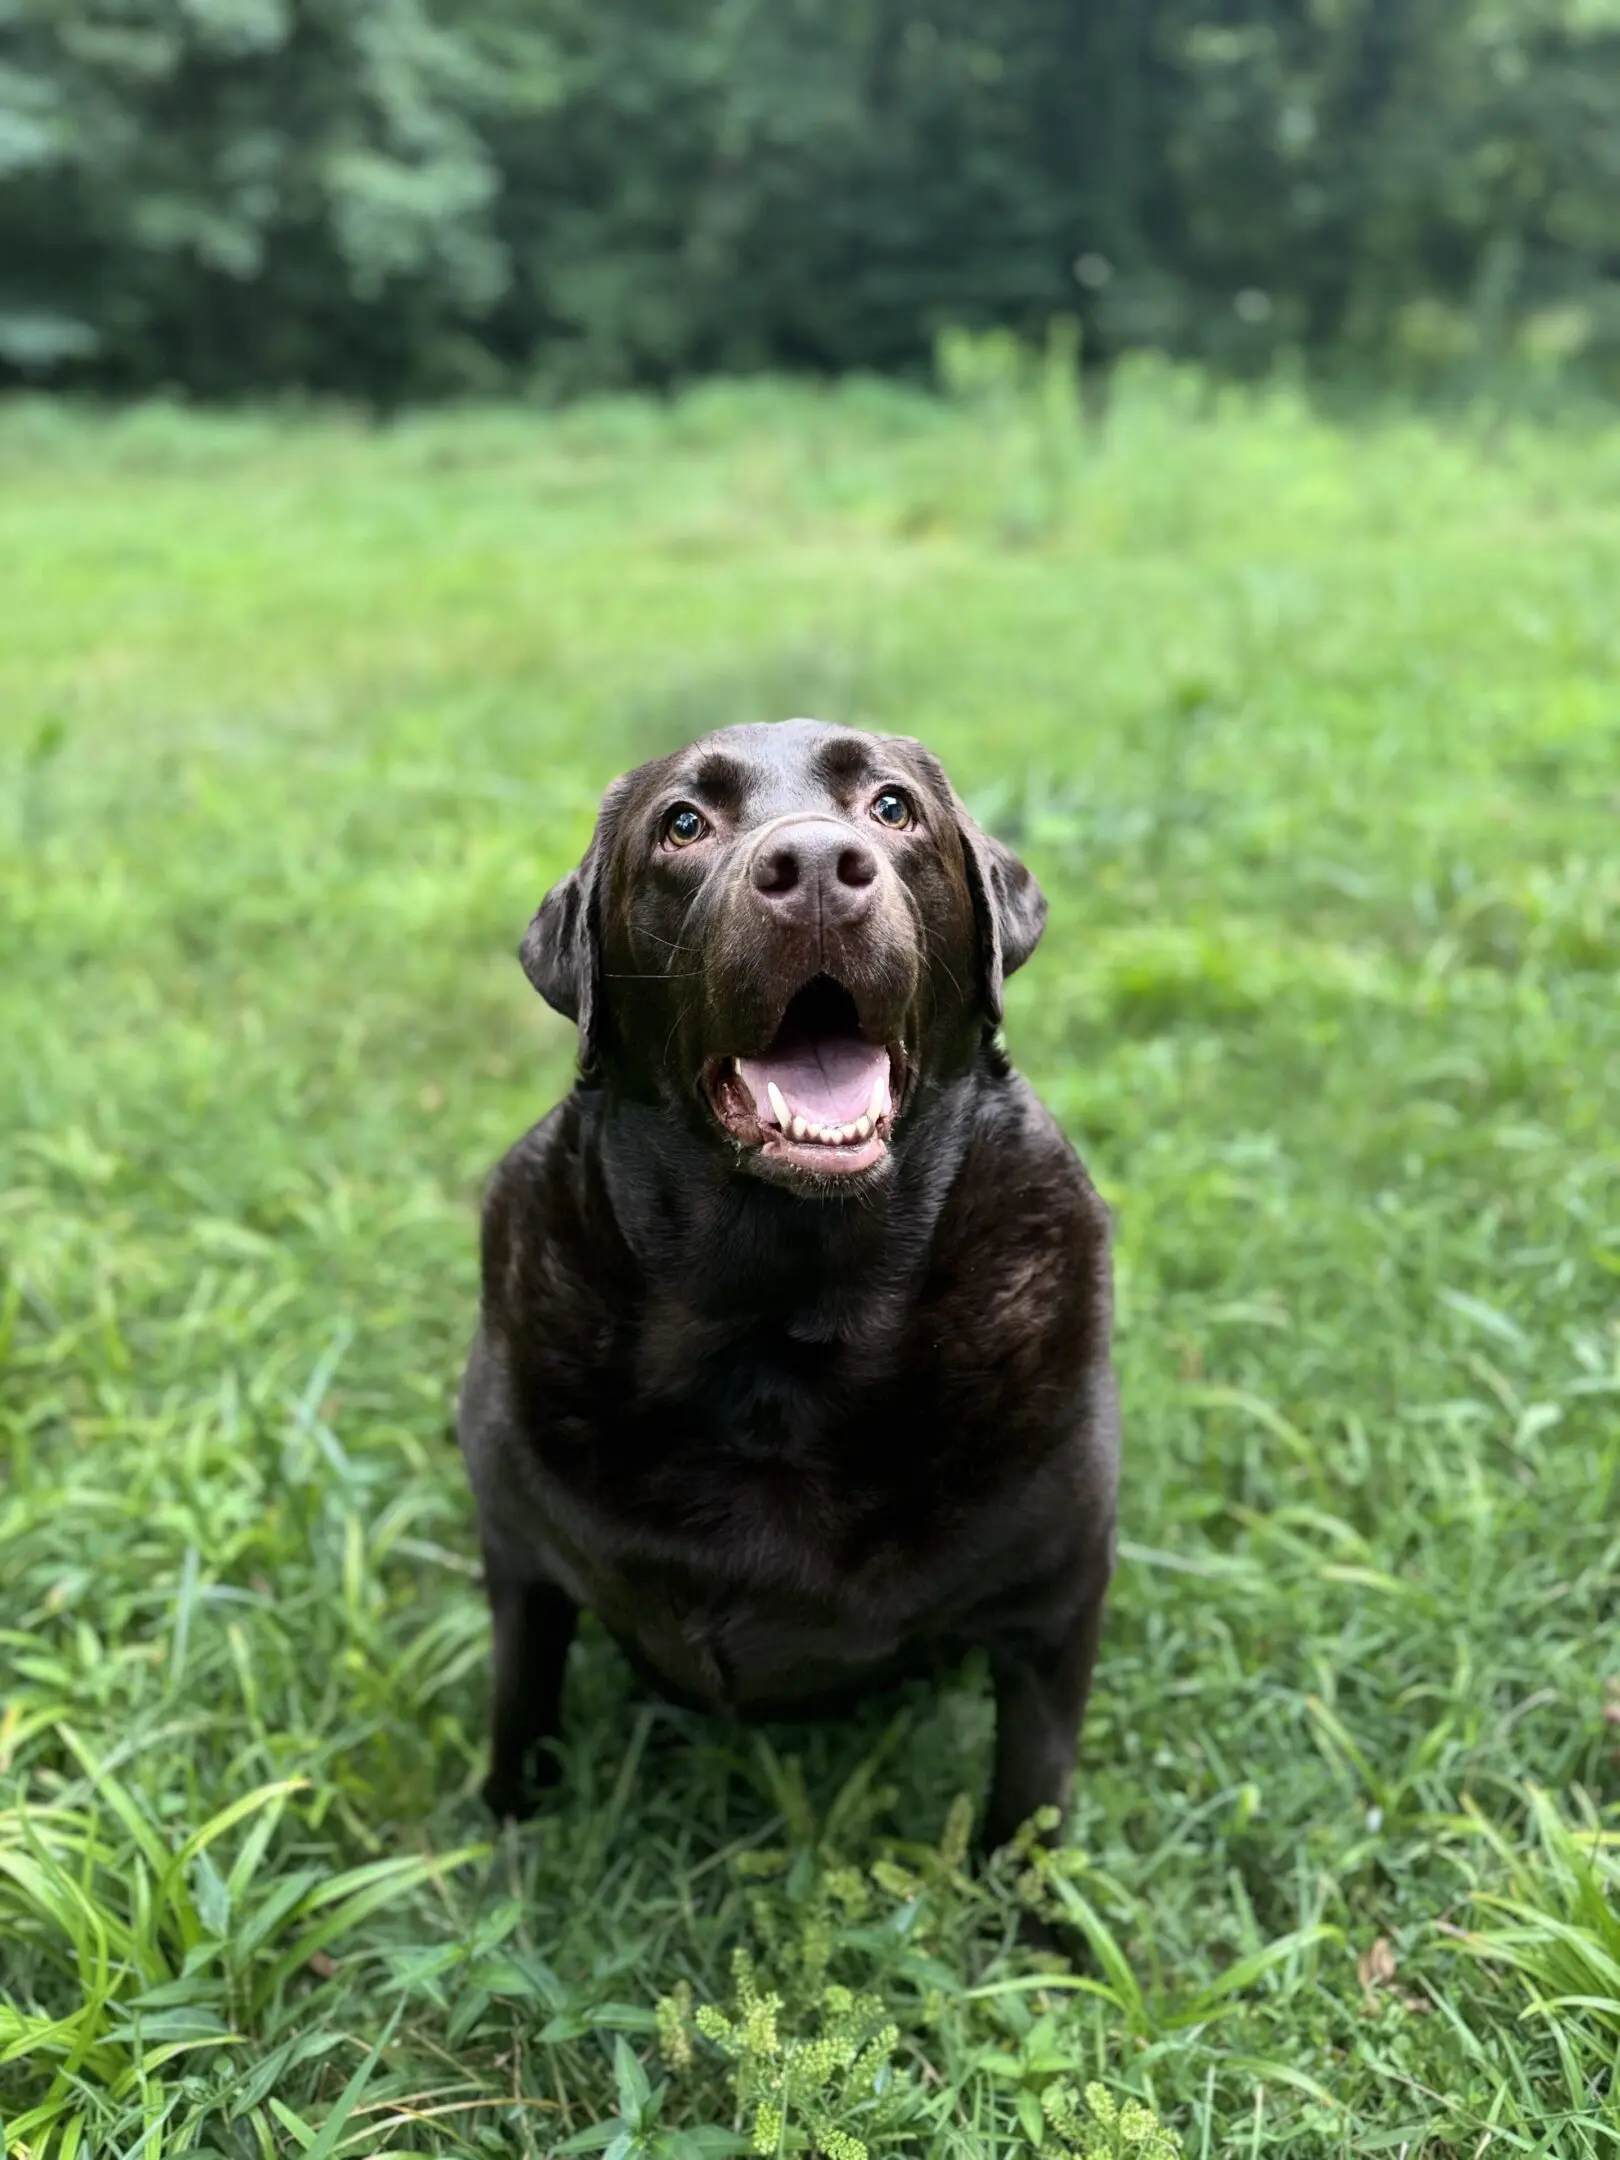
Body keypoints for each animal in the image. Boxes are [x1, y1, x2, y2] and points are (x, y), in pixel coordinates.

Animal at [457, 717, 1114, 1848]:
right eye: (683, 824)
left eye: (892, 808)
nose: (811, 867)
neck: (776, 1325)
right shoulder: (522, 1567)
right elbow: (518, 1727)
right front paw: (502, 1859)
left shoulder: (1054, 1615)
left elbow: (1027, 1813)